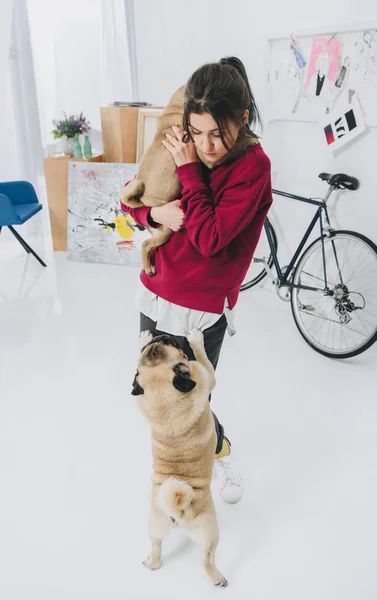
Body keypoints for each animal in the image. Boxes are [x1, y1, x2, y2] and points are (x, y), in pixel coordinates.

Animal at [132, 328, 226, 584]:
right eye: (170, 343)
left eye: (164, 342)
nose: (160, 336)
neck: (165, 401)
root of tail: (178, 511)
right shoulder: (204, 375)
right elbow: (203, 358)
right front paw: (195, 339)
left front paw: (143, 339)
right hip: (210, 533)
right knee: (207, 559)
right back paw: (217, 578)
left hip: (154, 525)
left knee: (156, 546)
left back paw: (152, 562)